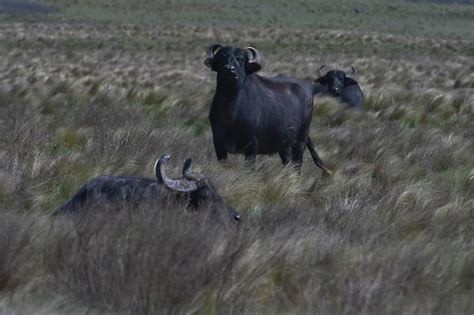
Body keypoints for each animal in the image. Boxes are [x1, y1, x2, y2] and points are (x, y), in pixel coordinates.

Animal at [206, 44, 332, 175]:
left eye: (240, 59)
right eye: (221, 58)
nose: (229, 69)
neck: (231, 111)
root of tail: (309, 89)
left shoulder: (252, 145)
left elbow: (250, 167)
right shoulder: (218, 143)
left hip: (300, 139)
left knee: (297, 165)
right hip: (284, 146)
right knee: (287, 162)